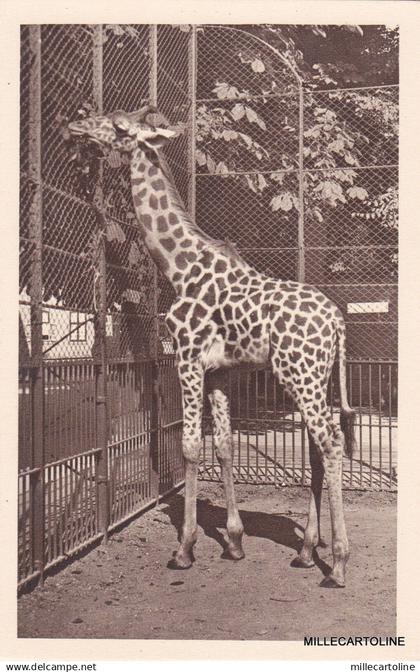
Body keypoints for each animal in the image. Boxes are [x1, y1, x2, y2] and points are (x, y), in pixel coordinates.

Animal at [68, 105, 357, 588]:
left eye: (120, 126)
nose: (77, 124)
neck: (178, 266)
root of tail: (337, 322)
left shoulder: (187, 358)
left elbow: (189, 446)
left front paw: (184, 549)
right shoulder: (220, 372)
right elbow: (222, 445)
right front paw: (235, 542)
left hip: (301, 374)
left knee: (331, 444)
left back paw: (335, 564)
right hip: (317, 378)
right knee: (319, 449)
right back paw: (303, 552)